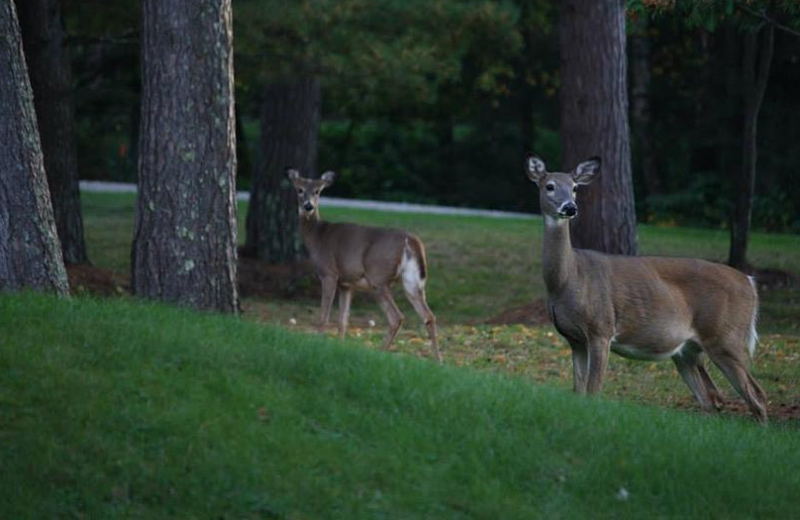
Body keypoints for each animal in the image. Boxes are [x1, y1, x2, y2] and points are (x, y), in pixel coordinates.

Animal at [286, 167, 440, 362]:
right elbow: (343, 319)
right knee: (429, 316)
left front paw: (319, 343)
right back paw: (439, 360)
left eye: (317, 191)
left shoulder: (329, 273)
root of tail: (411, 240)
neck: (317, 236)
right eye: (299, 189)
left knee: (396, 317)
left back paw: (381, 352)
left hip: (378, 277)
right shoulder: (346, 284)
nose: (308, 206)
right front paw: (340, 347)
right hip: (413, 281)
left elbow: (324, 315)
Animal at [524, 154, 768, 422]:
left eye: (575, 187)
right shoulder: (574, 338)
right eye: (549, 186)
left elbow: (593, 391)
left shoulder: (601, 328)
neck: (569, 280)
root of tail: (749, 282)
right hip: (687, 352)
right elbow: (578, 391)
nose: (570, 207)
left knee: (757, 394)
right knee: (711, 399)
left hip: (726, 336)